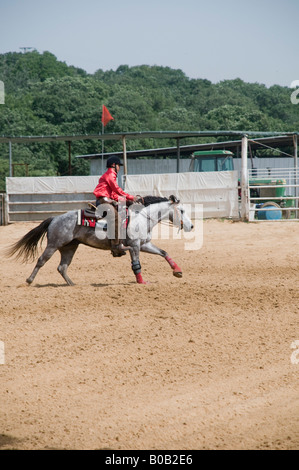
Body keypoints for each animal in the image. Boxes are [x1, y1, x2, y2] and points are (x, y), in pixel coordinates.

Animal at [7, 194, 195, 282]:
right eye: (182, 210)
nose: (191, 226)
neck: (141, 218)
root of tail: (55, 218)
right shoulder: (135, 246)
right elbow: (136, 265)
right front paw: (142, 282)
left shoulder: (144, 244)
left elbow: (163, 252)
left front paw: (177, 270)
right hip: (53, 245)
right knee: (41, 260)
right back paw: (29, 280)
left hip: (69, 247)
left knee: (62, 267)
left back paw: (72, 284)